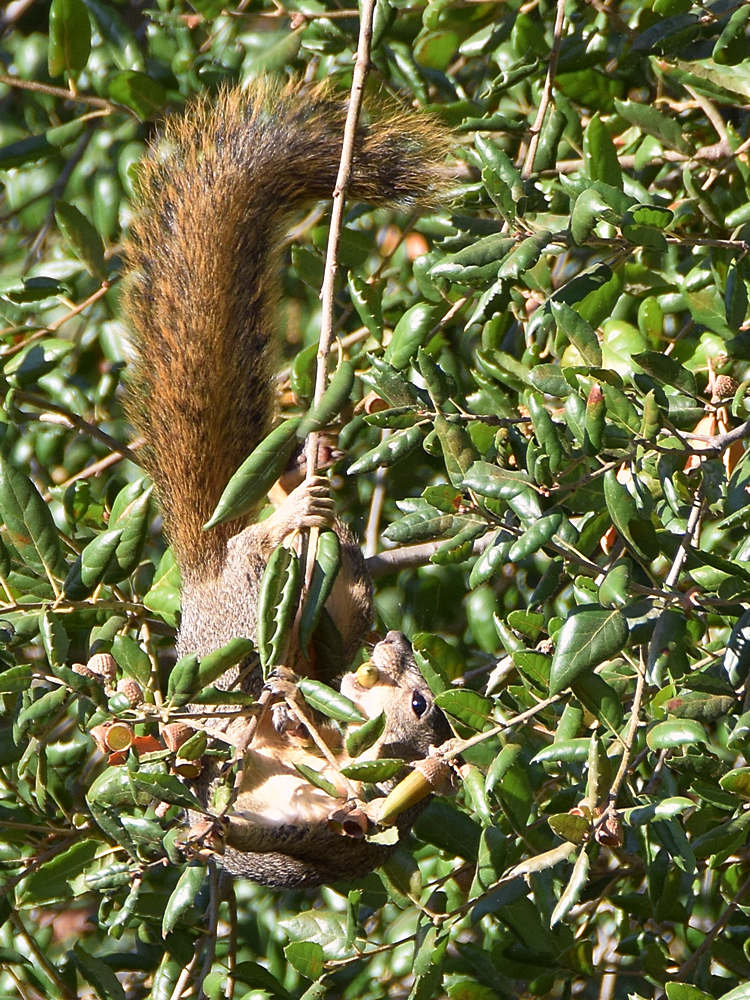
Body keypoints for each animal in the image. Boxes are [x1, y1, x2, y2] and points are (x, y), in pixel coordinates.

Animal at [122, 78, 453, 886]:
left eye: (420, 705)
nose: (396, 640)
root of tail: (204, 584)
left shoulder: (338, 827)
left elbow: (321, 834)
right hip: (252, 608)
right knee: (286, 559)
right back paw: (304, 480)